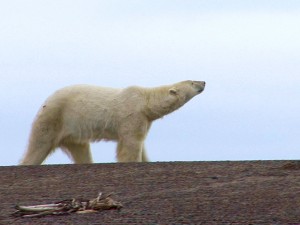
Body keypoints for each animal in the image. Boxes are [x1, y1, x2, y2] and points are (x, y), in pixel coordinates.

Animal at [19, 80, 205, 164]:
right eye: (192, 82)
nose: (203, 82)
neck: (145, 101)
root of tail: (45, 102)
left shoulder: (143, 120)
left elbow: (140, 143)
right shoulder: (132, 116)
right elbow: (131, 144)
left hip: (73, 132)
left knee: (81, 149)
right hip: (55, 117)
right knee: (39, 144)